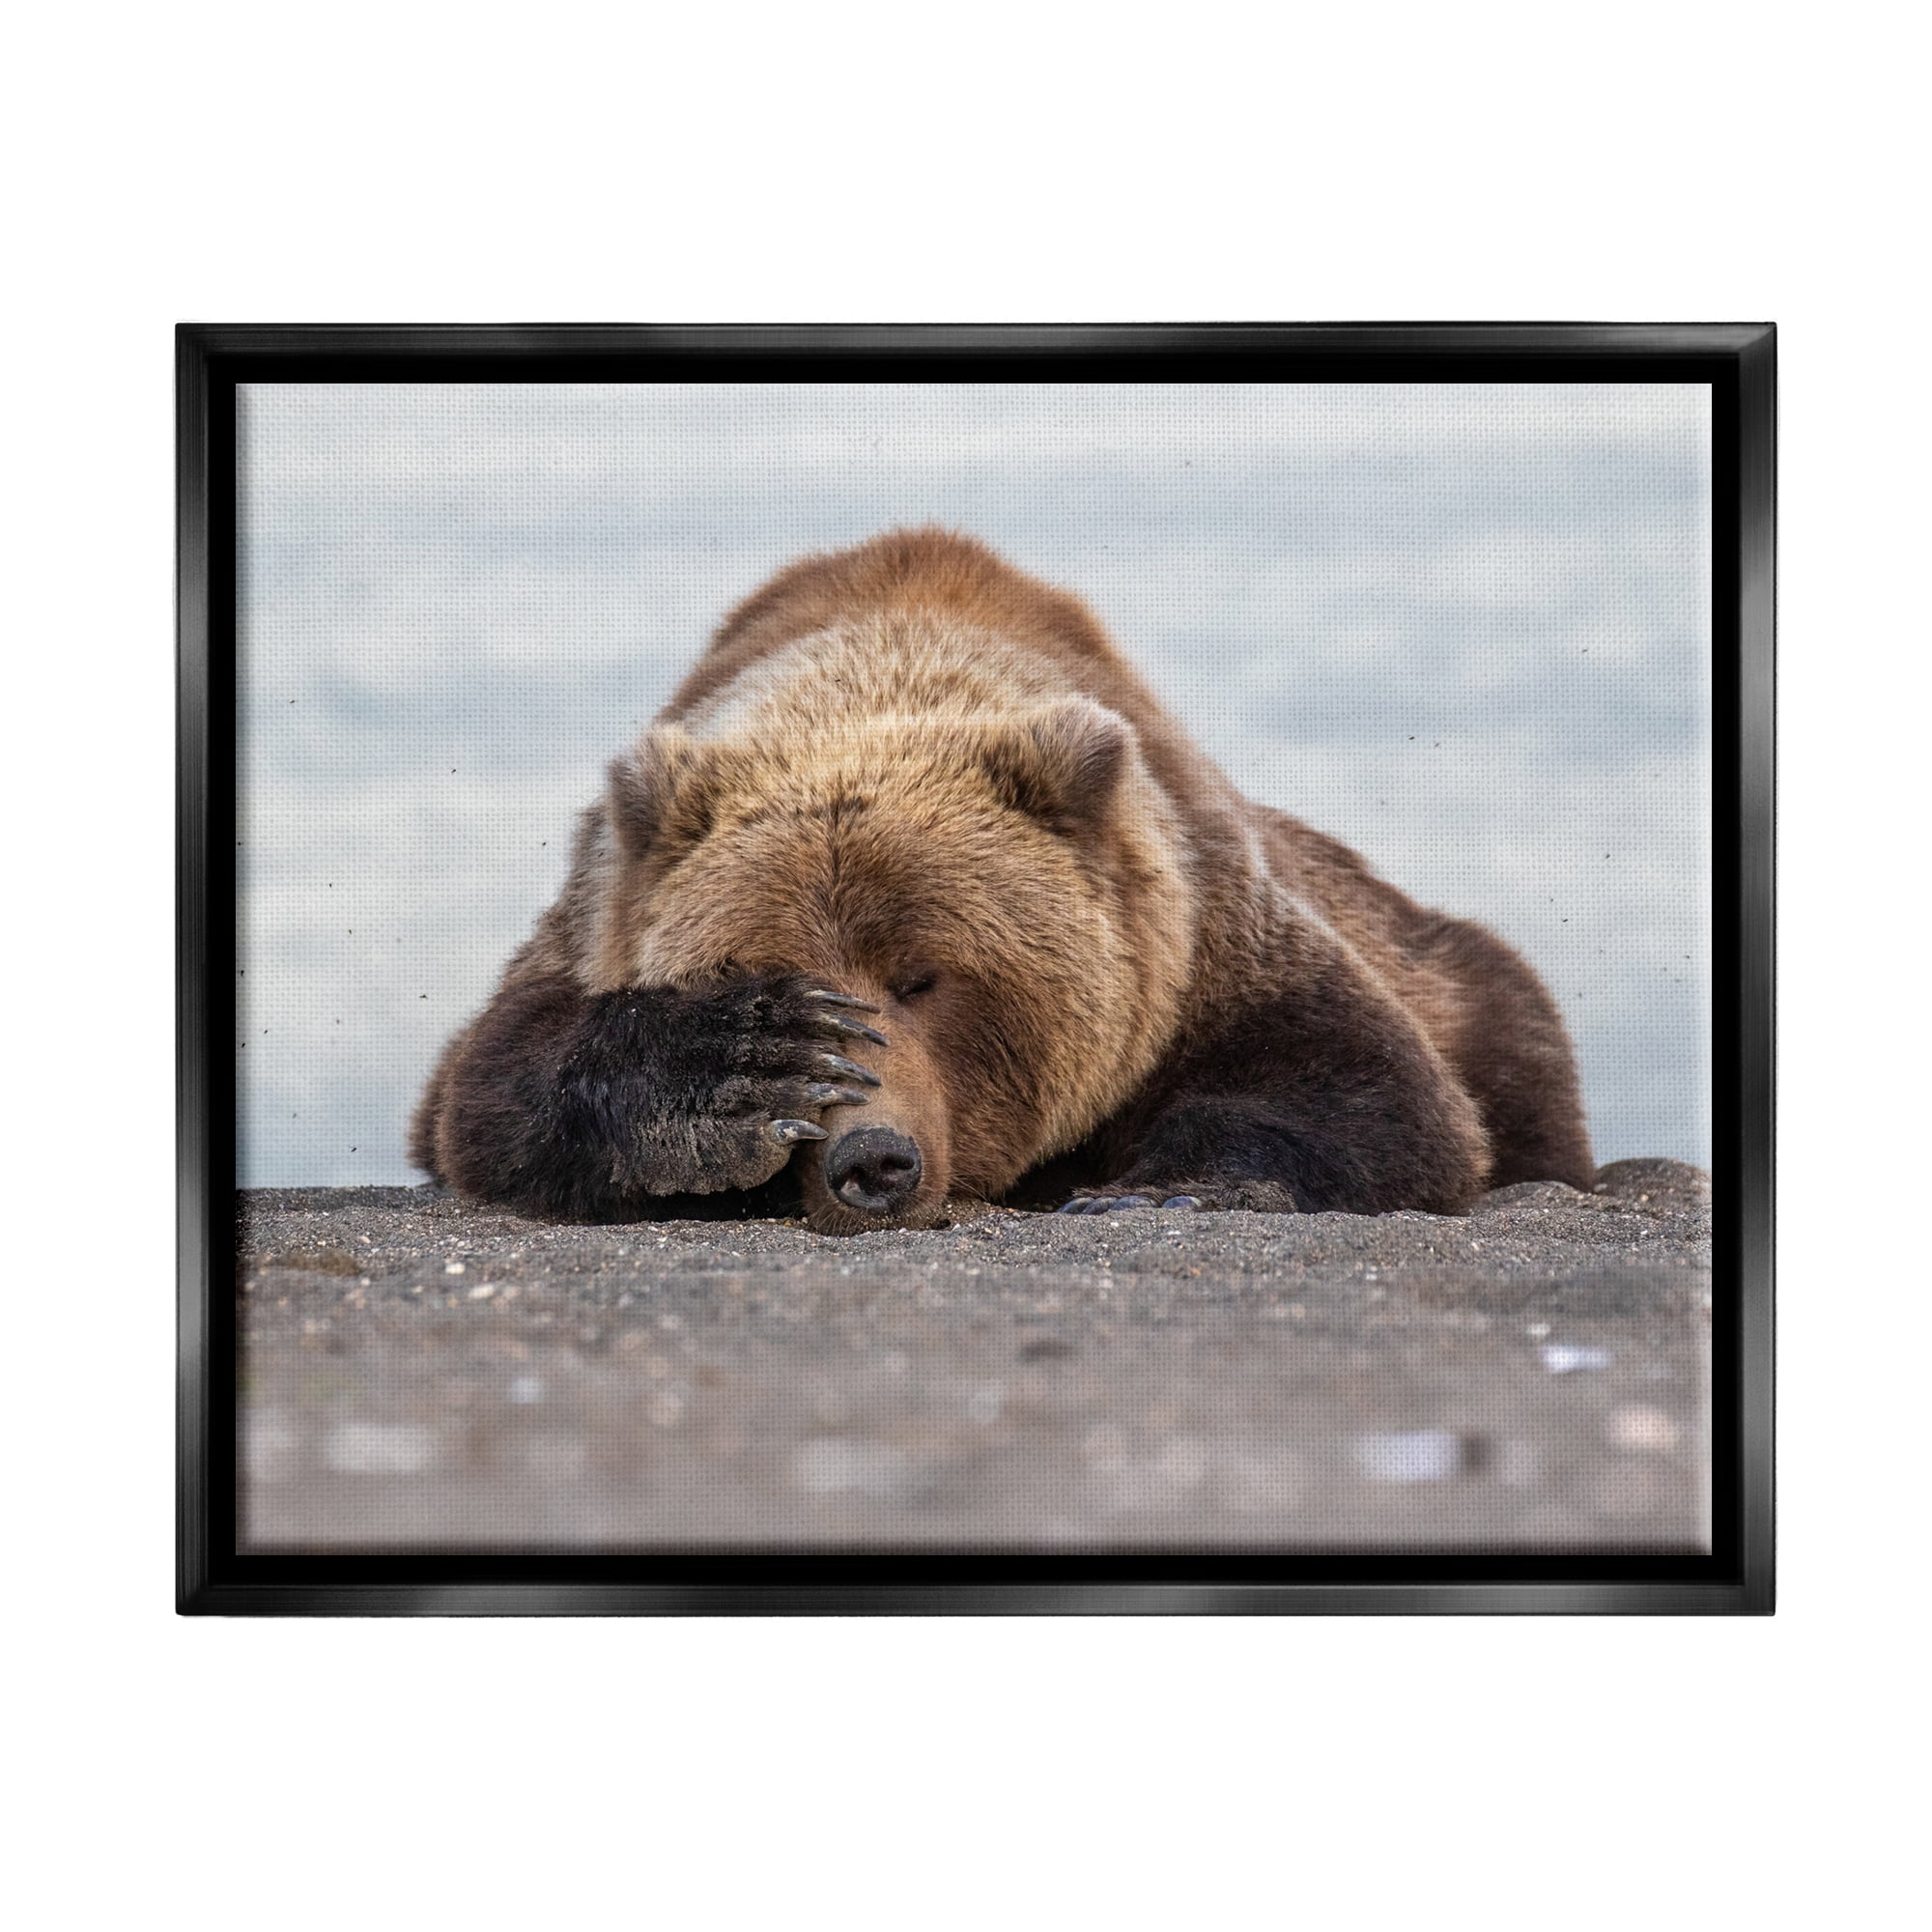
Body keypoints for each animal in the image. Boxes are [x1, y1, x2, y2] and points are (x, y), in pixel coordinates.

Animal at [410, 527, 1594, 1233]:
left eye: (925, 977)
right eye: (767, 969)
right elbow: (492, 1085)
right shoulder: (595, 912)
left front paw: (1156, 1186)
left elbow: (1369, 1090)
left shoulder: (1199, 936)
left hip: (1456, 971)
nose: (871, 1161)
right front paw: (735, 1070)